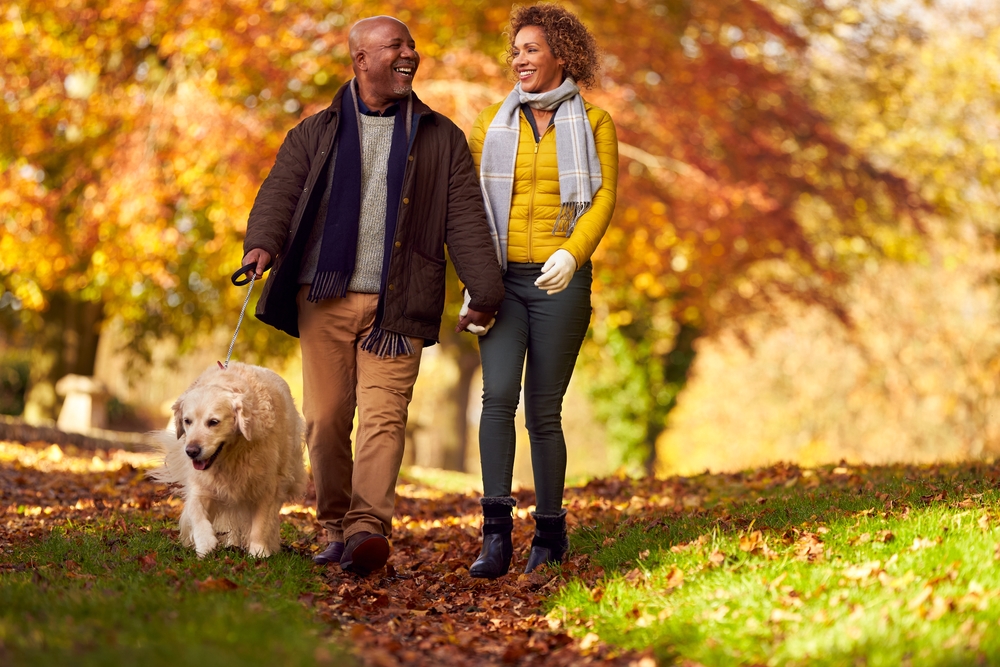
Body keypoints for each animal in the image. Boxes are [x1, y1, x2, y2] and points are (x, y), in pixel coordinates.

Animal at [148, 362, 304, 556]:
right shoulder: (201, 483)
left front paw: (259, 551)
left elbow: (260, 523)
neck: (231, 455)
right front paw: (205, 542)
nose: (191, 451)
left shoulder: (267, 485)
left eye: (213, 422)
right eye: (187, 421)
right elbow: (196, 511)